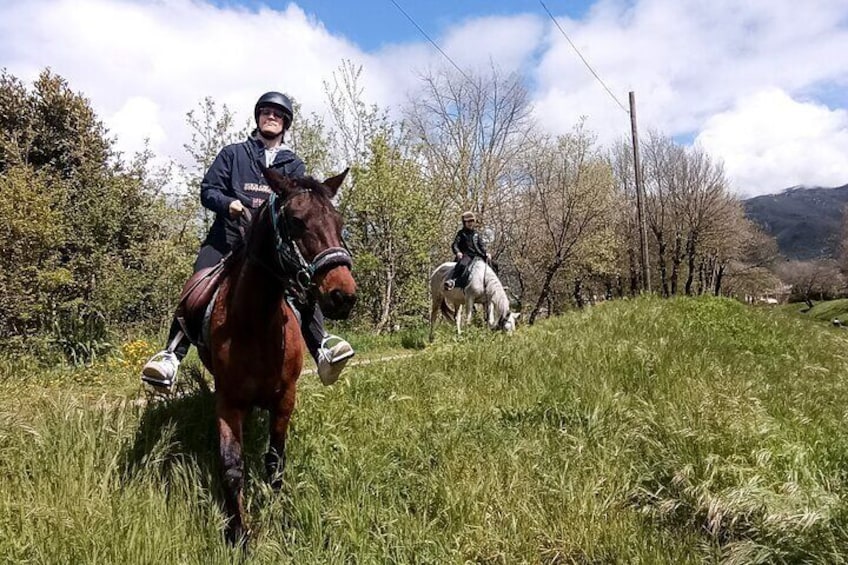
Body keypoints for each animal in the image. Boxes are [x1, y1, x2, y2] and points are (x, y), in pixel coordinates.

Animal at [201, 166, 354, 540]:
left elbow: (275, 461)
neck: (256, 324)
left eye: (339, 222)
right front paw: (238, 534)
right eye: (297, 221)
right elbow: (232, 467)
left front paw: (277, 512)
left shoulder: (285, 398)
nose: (343, 295)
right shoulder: (228, 402)